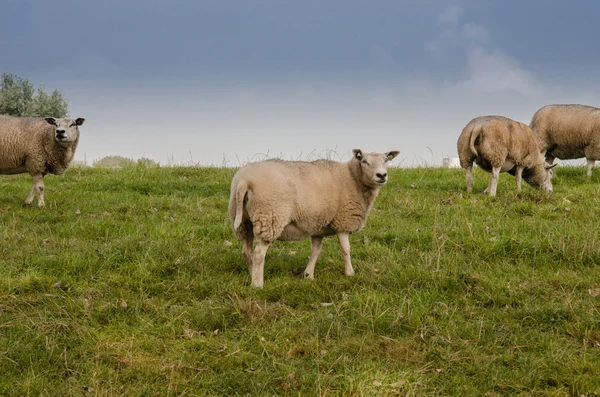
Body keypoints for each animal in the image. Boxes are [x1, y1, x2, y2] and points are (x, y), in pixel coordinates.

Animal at [229, 148, 398, 288]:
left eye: (386, 160)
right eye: (364, 161)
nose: (382, 175)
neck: (353, 178)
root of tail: (245, 181)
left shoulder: (317, 226)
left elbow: (316, 251)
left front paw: (308, 275)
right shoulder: (343, 222)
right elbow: (346, 249)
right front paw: (350, 273)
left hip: (243, 220)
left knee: (247, 252)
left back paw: (252, 275)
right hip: (270, 217)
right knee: (258, 254)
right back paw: (258, 284)